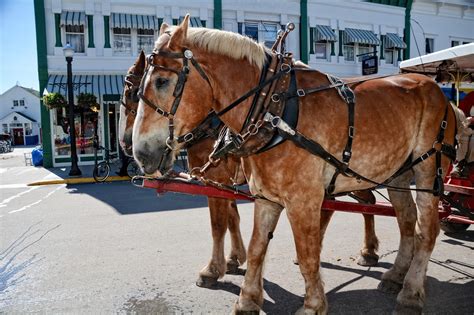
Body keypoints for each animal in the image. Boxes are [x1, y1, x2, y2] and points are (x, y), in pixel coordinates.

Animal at [130, 16, 456, 314]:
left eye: (162, 81)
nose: (140, 153)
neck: (273, 110)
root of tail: (441, 94)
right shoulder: (265, 196)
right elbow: (257, 246)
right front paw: (248, 298)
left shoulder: (303, 199)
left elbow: (306, 251)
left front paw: (312, 304)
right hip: (397, 173)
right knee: (406, 220)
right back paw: (396, 274)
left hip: (427, 171)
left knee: (427, 229)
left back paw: (411, 291)